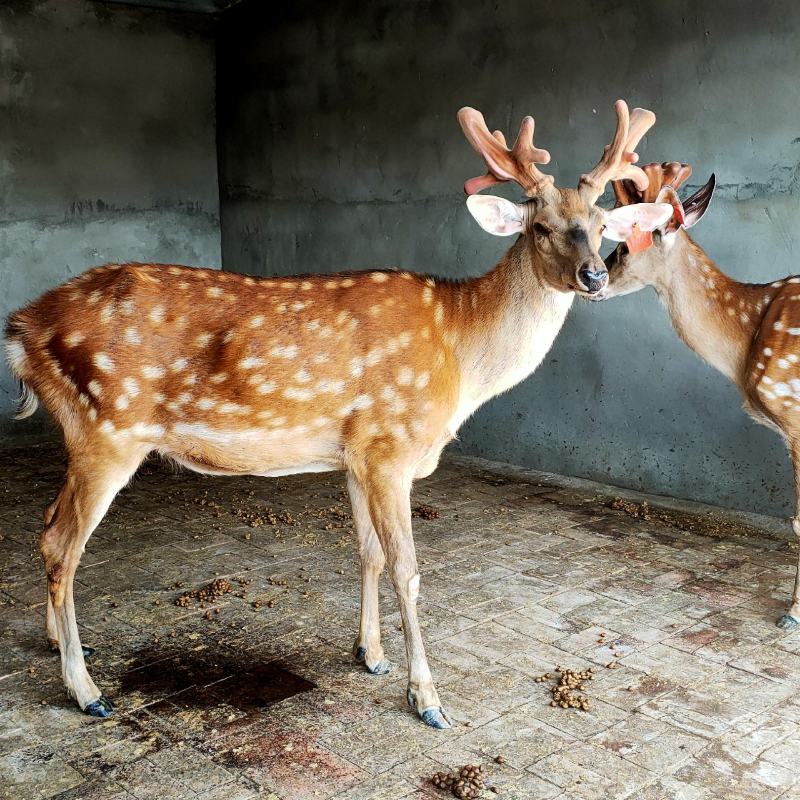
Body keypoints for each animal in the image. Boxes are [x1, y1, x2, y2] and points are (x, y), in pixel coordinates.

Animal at [4, 100, 668, 724]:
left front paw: (369, 653)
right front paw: (426, 698)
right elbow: (408, 568)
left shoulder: (358, 452)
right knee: (62, 543)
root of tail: (20, 331)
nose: (594, 275)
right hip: (109, 427)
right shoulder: (393, 446)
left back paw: (56, 642)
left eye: (601, 225)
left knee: (45, 523)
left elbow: (367, 551)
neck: (459, 354)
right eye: (542, 227)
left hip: (86, 432)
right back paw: (86, 689)